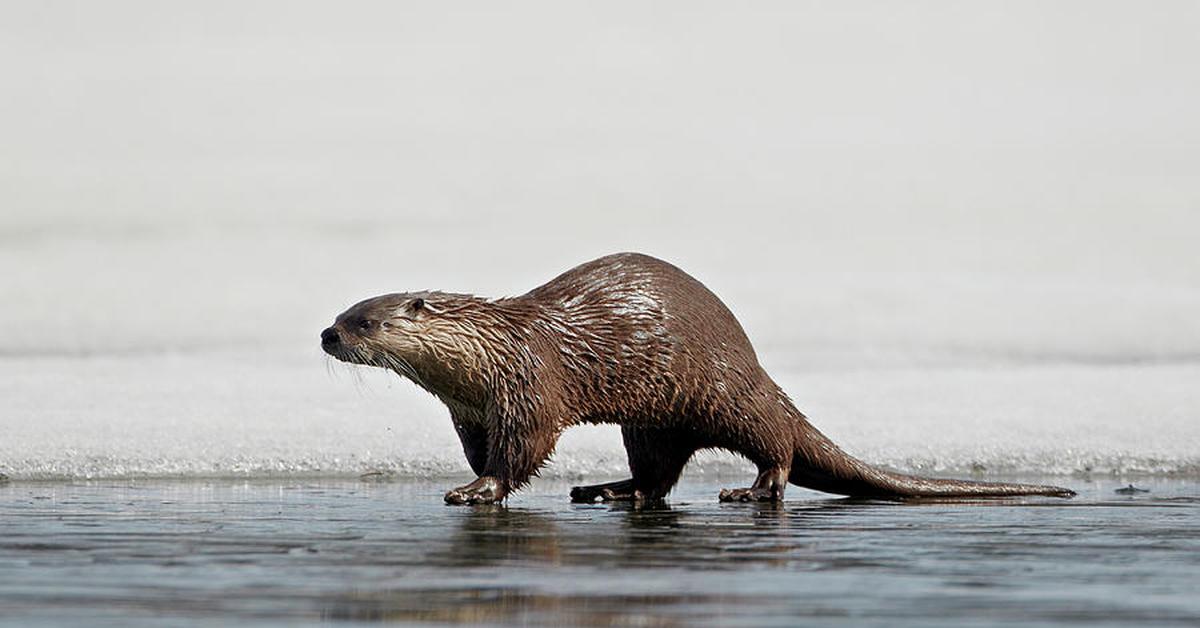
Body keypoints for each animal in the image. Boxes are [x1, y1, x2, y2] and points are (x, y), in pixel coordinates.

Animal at [321, 253, 1080, 504]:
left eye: (365, 321)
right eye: (340, 312)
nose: (326, 335)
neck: (489, 355)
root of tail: (752, 360)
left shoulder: (530, 389)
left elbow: (521, 452)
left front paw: (478, 490)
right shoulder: (472, 410)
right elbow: (487, 448)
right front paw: (477, 477)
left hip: (718, 391)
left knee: (775, 439)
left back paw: (754, 489)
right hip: (649, 419)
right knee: (657, 474)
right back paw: (609, 490)